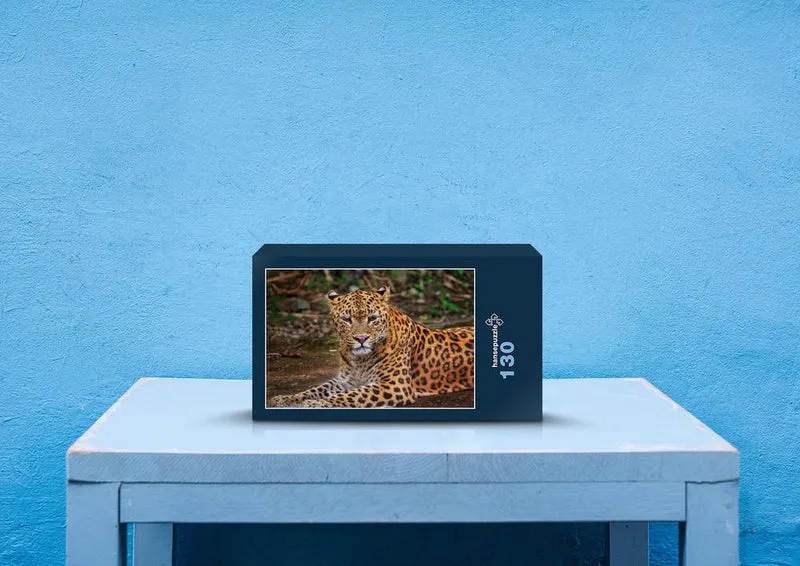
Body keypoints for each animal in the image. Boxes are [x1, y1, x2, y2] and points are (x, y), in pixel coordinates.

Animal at [268, 285, 474, 408]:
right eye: (347, 319)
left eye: (372, 318)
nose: (361, 338)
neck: (360, 359)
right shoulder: (344, 380)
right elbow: (315, 389)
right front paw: (284, 399)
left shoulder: (395, 385)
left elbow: (352, 395)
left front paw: (315, 404)